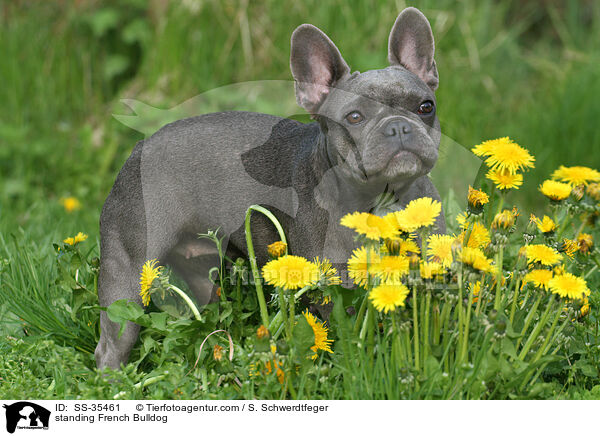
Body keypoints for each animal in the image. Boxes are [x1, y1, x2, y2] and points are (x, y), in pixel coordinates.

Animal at [96, 6, 446, 368]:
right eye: (354, 117)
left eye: (426, 107)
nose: (398, 127)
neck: (380, 198)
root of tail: (140, 147)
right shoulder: (336, 290)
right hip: (129, 273)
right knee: (114, 338)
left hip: (204, 271)